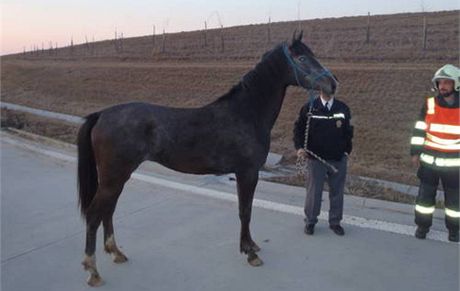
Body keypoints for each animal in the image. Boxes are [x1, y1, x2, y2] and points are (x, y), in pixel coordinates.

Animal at [77, 30, 338, 286]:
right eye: (302, 58)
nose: (332, 83)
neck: (246, 113)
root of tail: (101, 115)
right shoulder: (247, 173)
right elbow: (245, 211)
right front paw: (249, 253)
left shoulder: (246, 174)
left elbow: (246, 210)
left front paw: (251, 246)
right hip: (113, 177)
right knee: (94, 214)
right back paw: (93, 271)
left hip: (117, 178)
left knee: (108, 211)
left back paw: (116, 253)